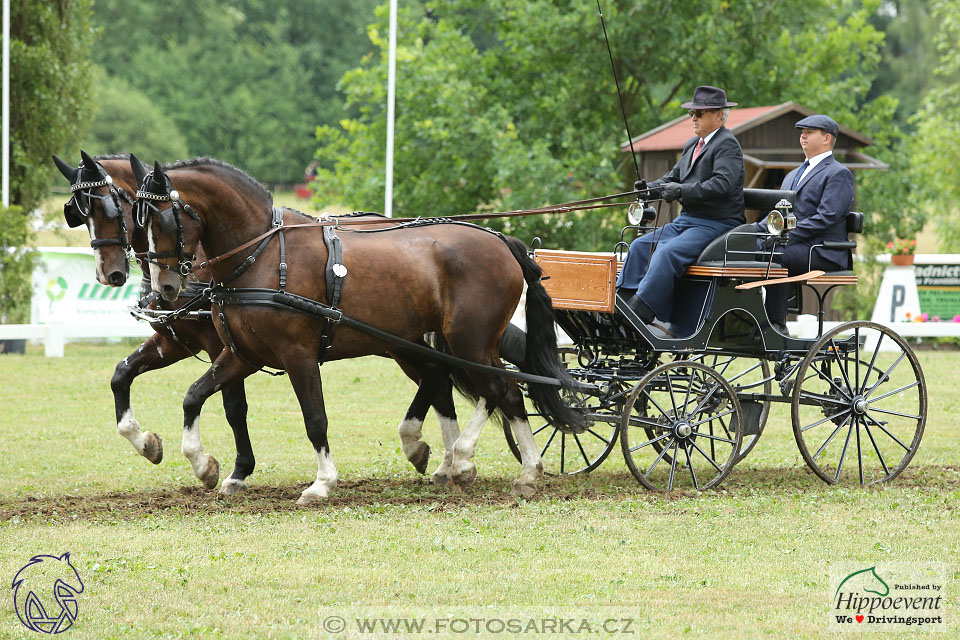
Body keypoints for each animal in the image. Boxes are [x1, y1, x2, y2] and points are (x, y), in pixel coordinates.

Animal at [134, 158, 576, 502]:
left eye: (165, 218)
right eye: (139, 224)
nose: (164, 289)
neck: (261, 254)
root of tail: (504, 243)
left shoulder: (298, 356)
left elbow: (315, 418)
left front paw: (322, 483)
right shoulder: (243, 354)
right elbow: (194, 396)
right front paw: (203, 464)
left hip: (470, 340)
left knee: (498, 388)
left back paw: (474, 460)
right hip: (446, 343)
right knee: (497, 391)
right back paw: (517, 471)